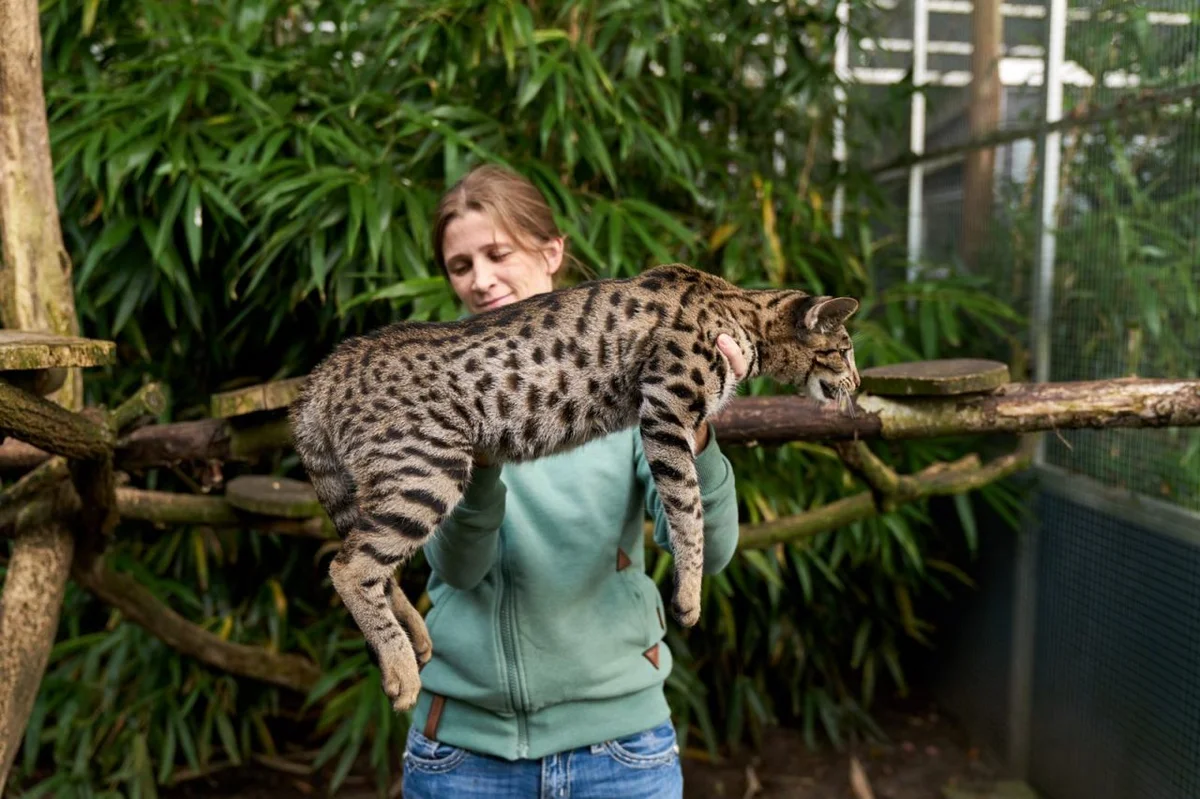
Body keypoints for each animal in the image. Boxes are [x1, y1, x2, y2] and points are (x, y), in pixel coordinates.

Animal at [285, 261, 859, 710]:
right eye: (847, 351)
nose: (858, 384)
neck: (739, 312)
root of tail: (320, 377)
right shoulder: (665, 411)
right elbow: (689, 510)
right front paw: (689, 596)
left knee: (368, 561)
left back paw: (413, 641)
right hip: (425, 473)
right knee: (350, 567)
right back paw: (402, 670)